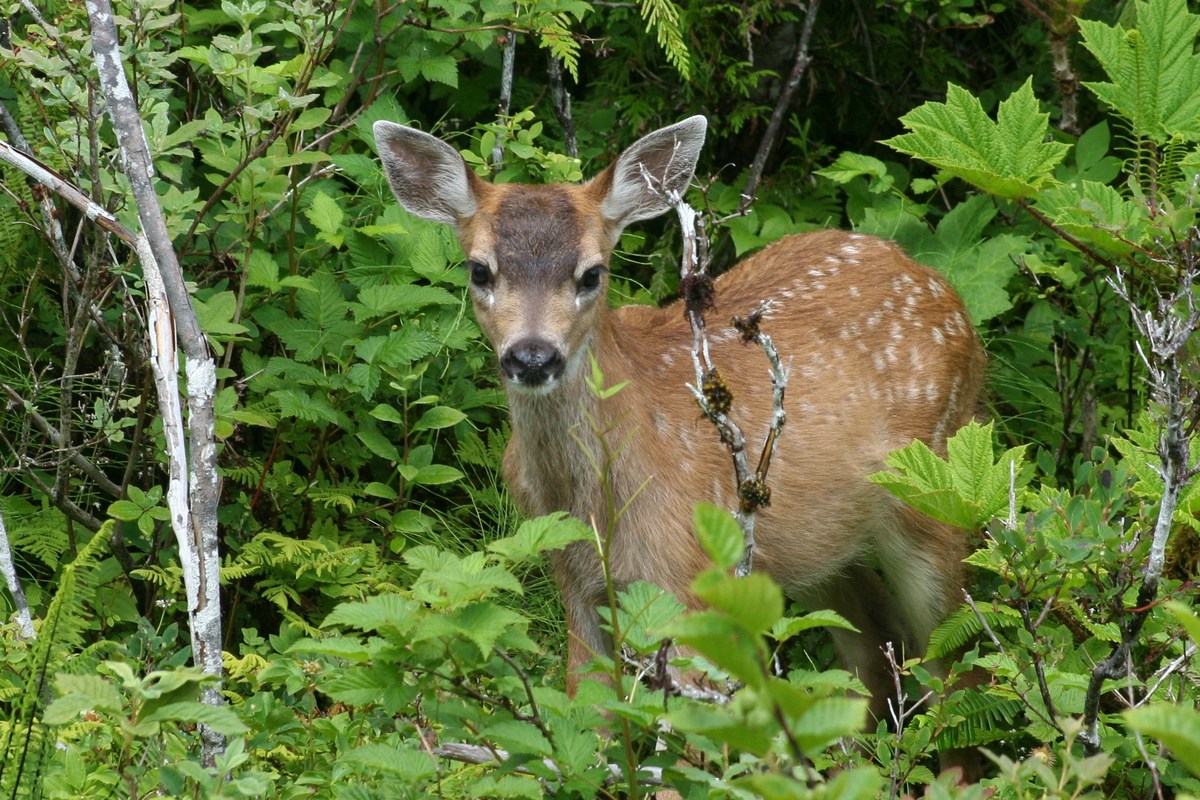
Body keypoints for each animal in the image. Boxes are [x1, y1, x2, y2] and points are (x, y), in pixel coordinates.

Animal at [372, 115, 984, 724]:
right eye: (479, 270)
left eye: (592, 273)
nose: (532, 356)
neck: (596, 502)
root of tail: (941, 286)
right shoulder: (572, 577)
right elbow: (586, 710)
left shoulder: (685, 577)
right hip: (810, 547)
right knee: (872, 643)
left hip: (935, 488)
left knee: (953, 657)